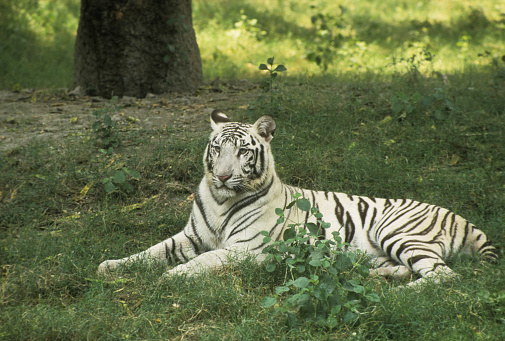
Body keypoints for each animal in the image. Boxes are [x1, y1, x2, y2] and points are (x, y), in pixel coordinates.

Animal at [98, 110, 496, 286]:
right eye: (216, 148)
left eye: (243, 150)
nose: (223, 176)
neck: (221, 199)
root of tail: (464, 220)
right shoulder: (190, 236)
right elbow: (151, 252)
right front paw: (110, 266)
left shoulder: (243, 248)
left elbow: (204, 261)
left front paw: (171, 277)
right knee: (407, 268)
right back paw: (368, 274)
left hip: (397, 231)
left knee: (444, 276)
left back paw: (398, 295)